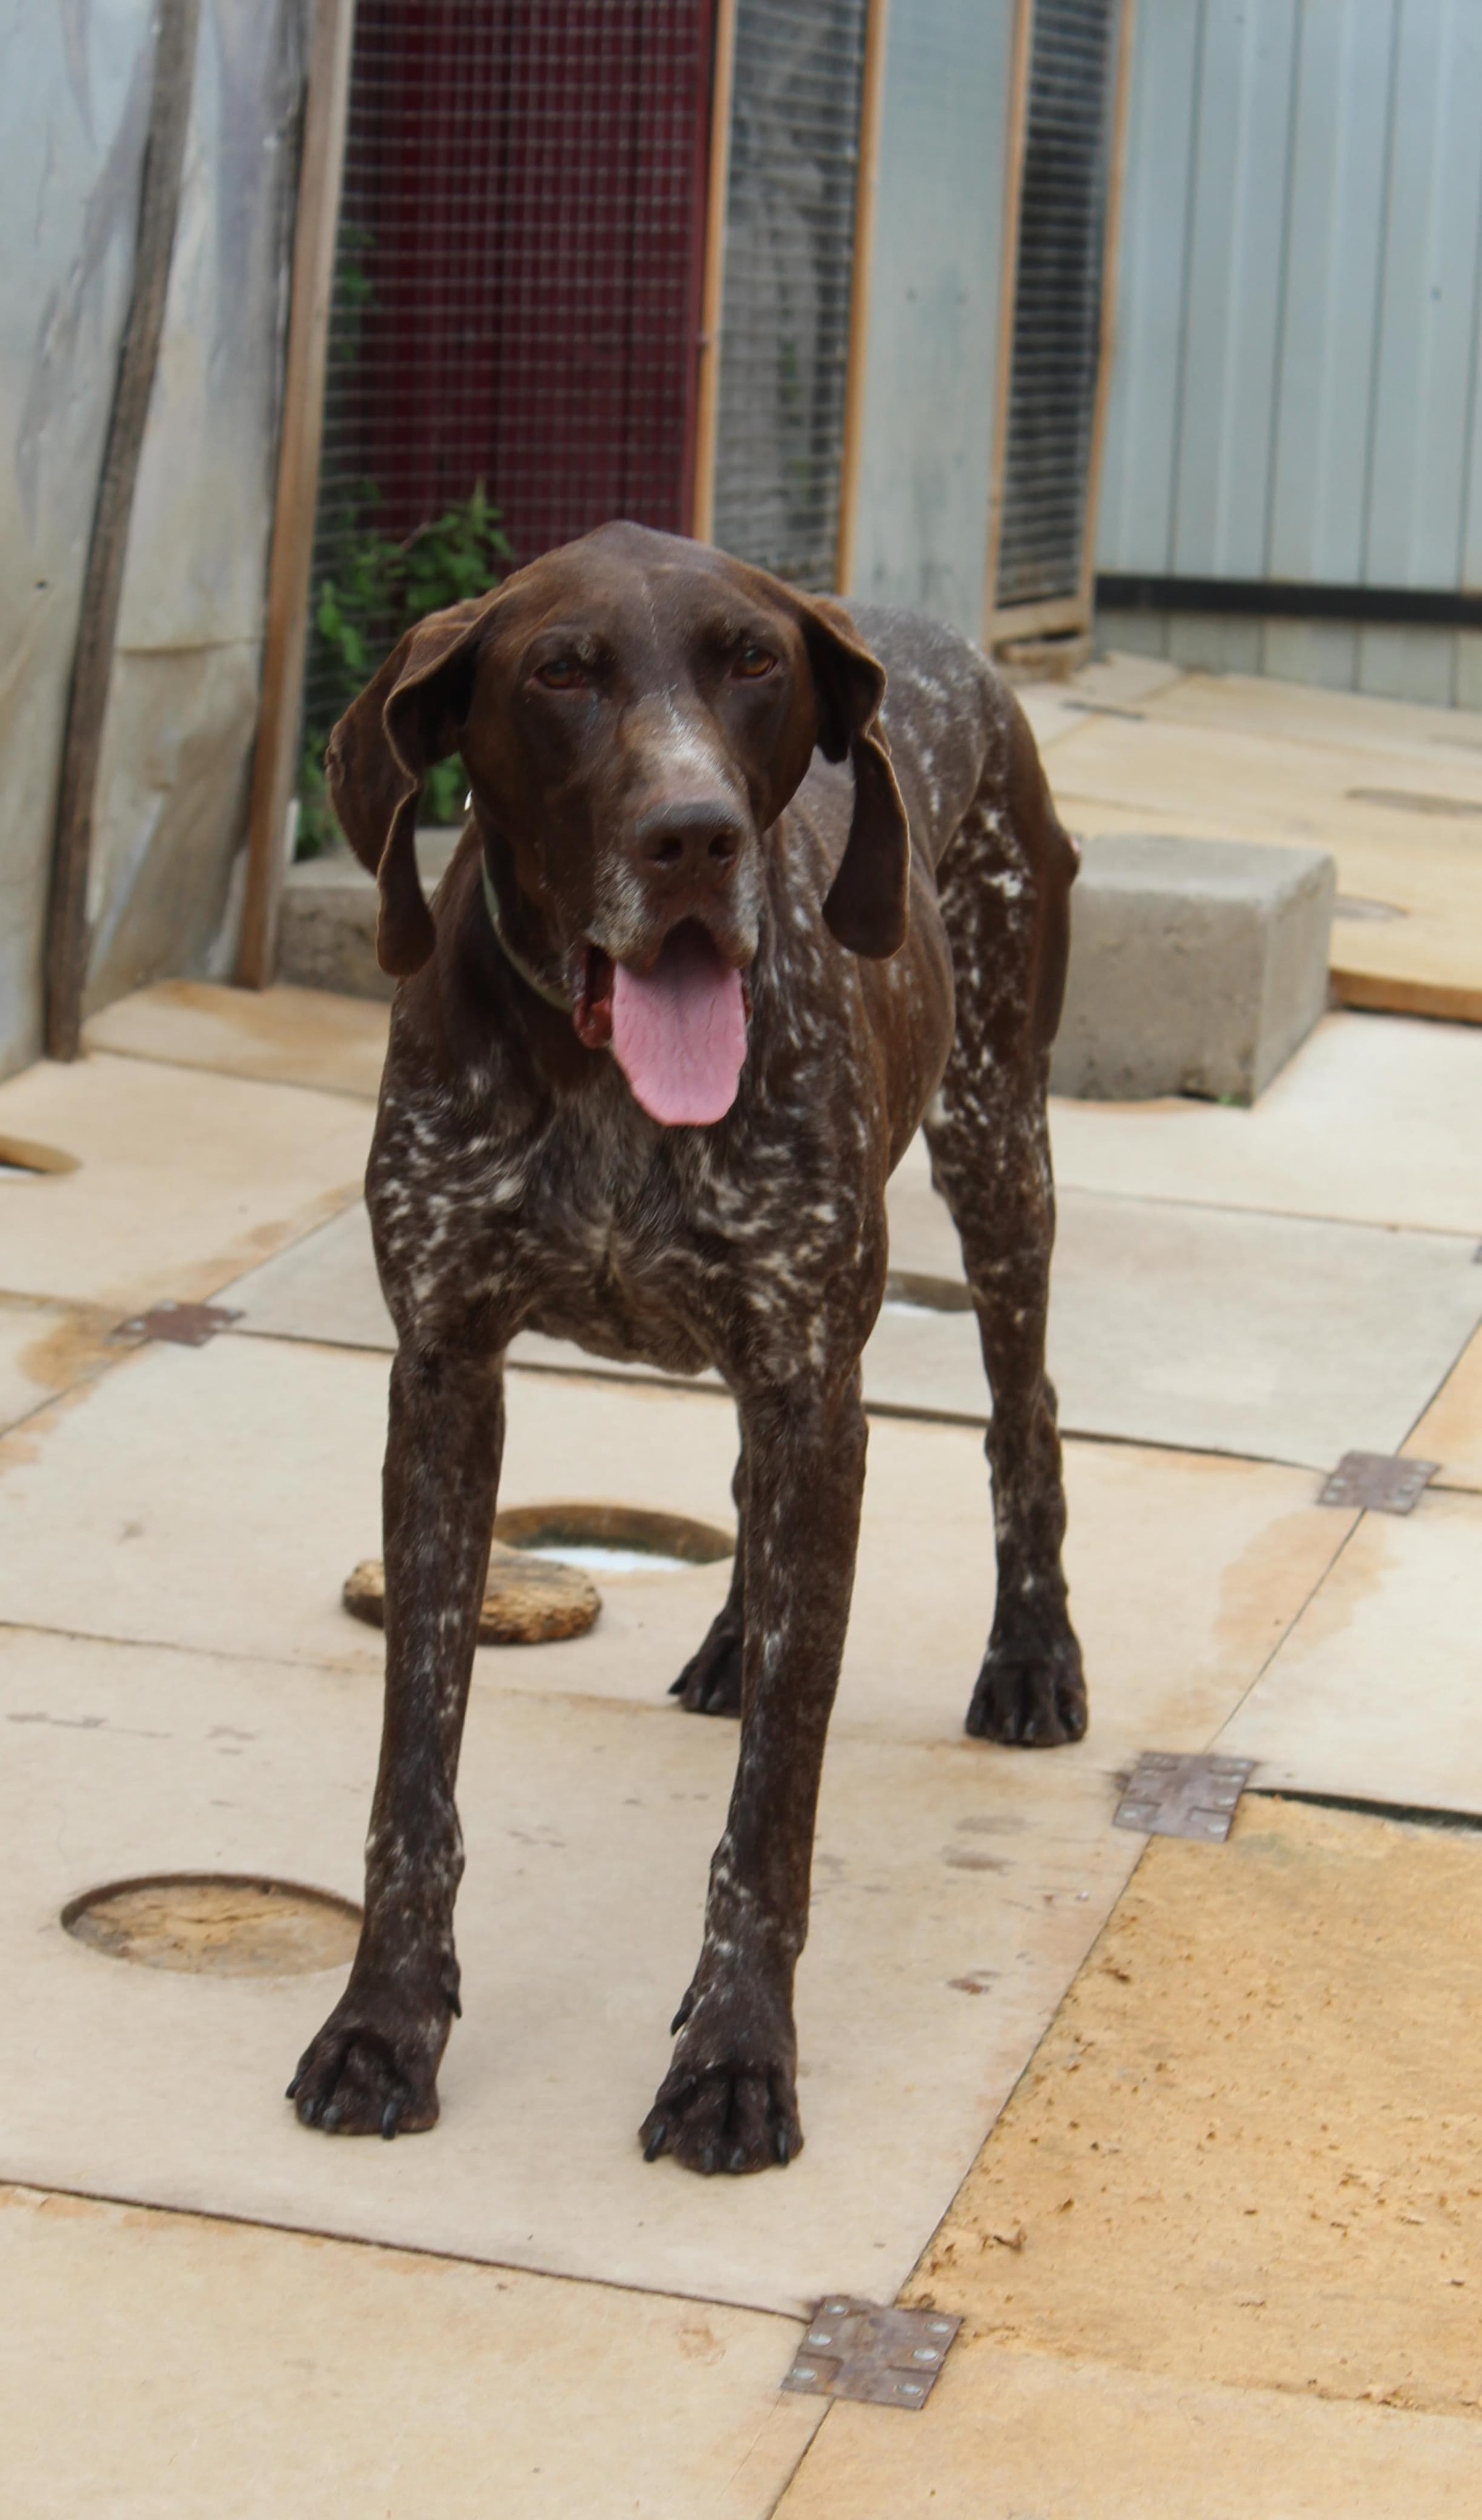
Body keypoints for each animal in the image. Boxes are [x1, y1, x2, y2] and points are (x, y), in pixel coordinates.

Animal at [286, 517, 1078, 2167]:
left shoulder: (812, 1387)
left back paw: (1032, 1654)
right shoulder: (444, 1378)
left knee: (1021, 1416)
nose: (693, 838)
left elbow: (774, 1800)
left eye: (753, 664)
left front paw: (732, 2056)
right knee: (758, 1525)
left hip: (998, 1147)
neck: (605, 1084)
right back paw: (729, 1633)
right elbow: (414, 1765)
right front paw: (384, 2020)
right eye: (561, 671)